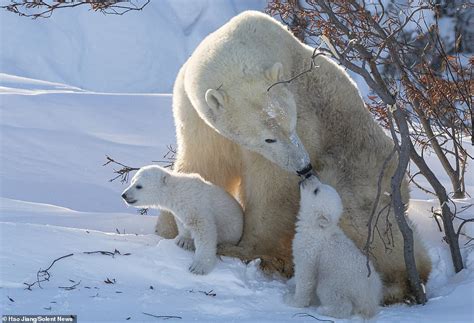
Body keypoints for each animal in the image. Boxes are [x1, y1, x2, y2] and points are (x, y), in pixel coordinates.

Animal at [157, 10, 432, 304]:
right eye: (269, 138)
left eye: (292, 123)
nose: (304, 167)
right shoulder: (197, 116)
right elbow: (205, 164)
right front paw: (170, 230)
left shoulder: (304, 115)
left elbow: (272, 190)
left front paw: (243, 250)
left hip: (365, 177)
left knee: (364, 221)